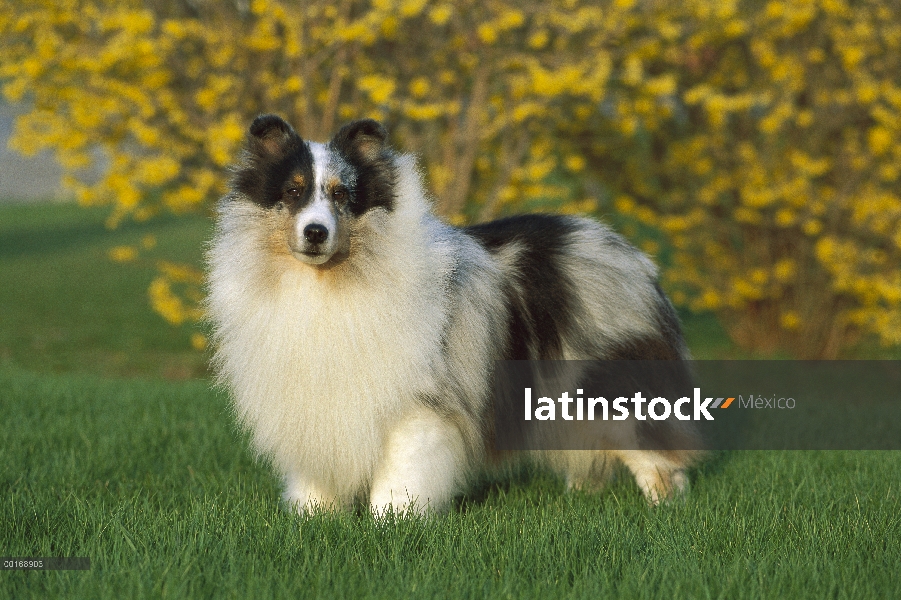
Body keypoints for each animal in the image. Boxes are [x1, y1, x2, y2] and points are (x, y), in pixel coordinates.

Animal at [207, 113, 700, 516]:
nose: (315, 232)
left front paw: (392, 522)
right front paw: (313, 517)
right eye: (292, 192)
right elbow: (317, 476)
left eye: (342, 195)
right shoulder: (312, 403)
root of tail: (633, 256)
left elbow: (401, 474)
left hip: (610, 385)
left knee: (656, 456)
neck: (328, 282)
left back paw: (663, 507)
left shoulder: (416, 403)